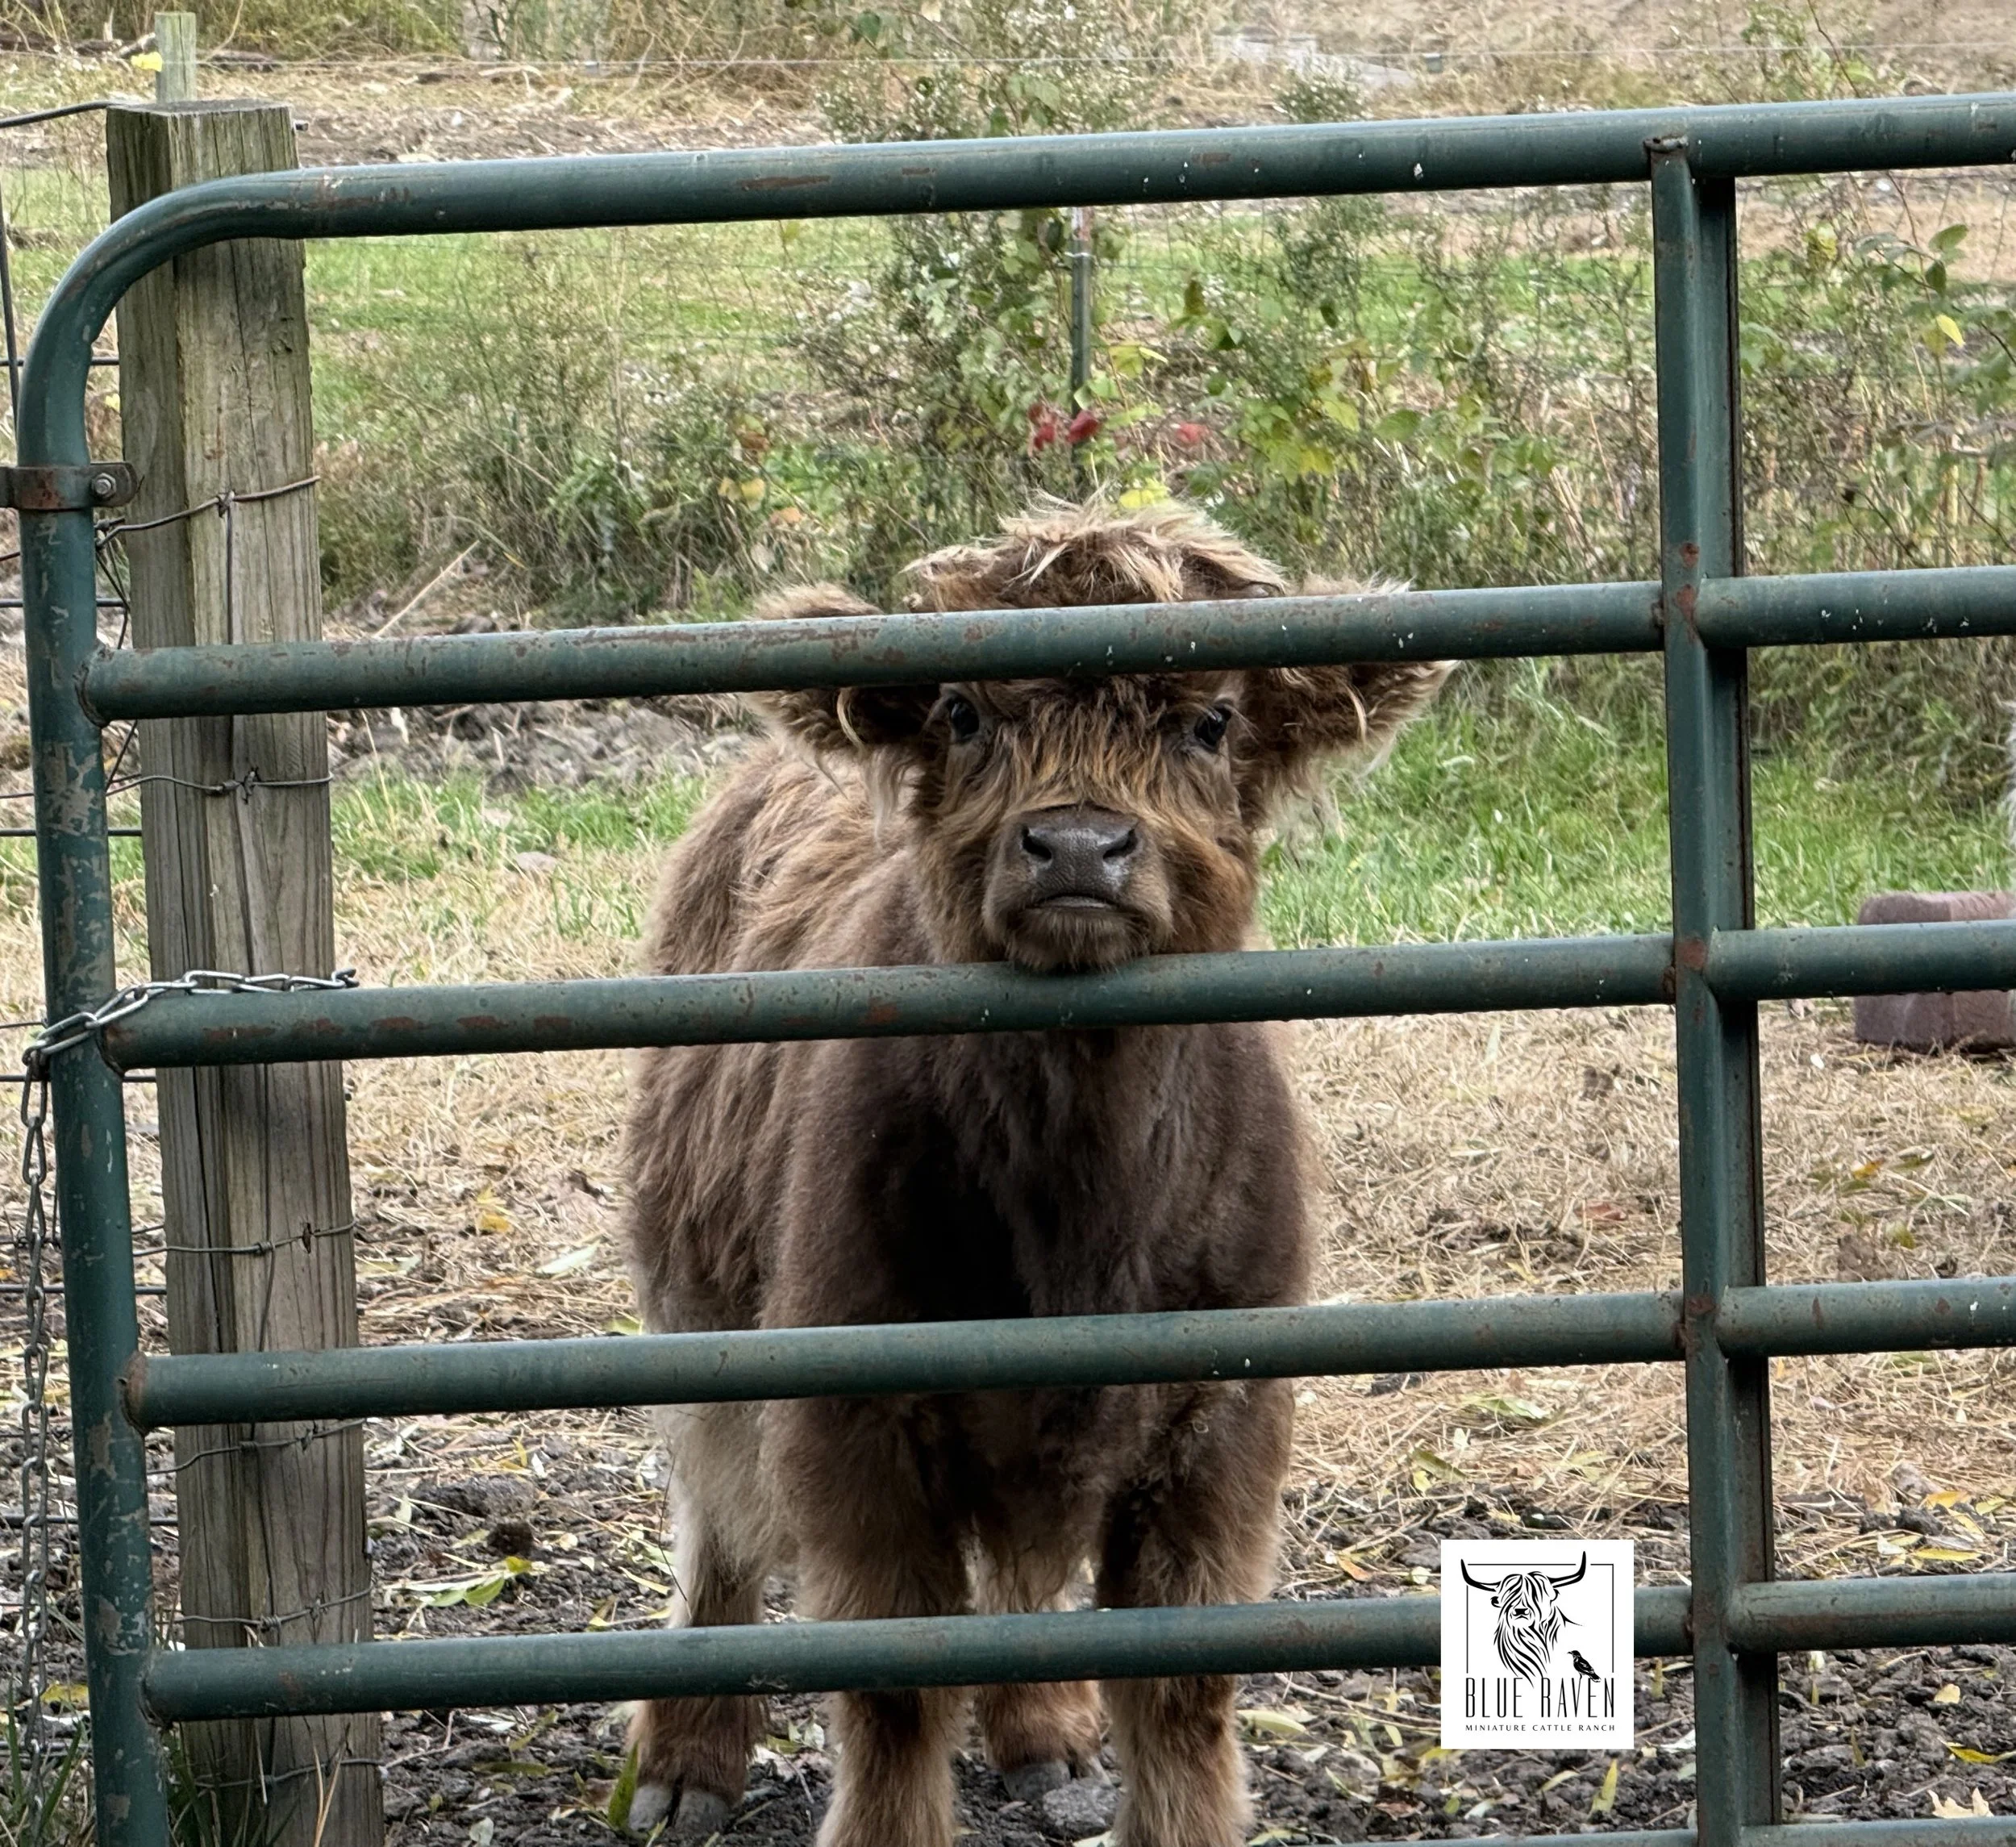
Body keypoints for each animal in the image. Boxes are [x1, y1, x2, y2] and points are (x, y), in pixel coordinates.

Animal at [621, 501, 1453, 1847]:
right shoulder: (853, 1425)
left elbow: (1180, 1694)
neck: (1080, 1212)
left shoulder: (1218, 1434)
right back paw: (683, 1765)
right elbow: (896, 1686)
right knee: (719, 1515)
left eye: (1209, 720)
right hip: (694, 1289)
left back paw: (1050, 1738)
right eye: (963, 710)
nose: (1075, 843)